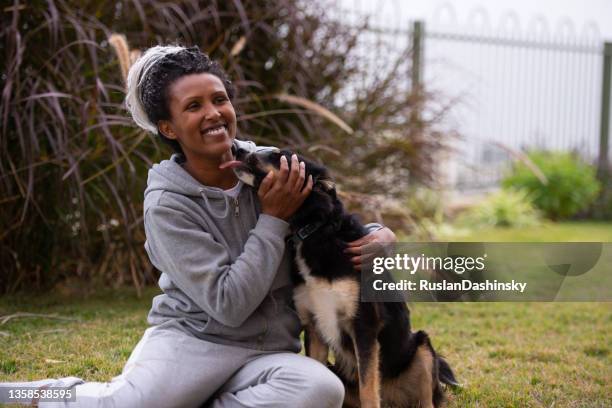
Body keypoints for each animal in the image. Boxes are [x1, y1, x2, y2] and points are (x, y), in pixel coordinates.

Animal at [228, 147, 454, 408]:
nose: (237, 149)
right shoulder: (315, 326)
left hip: (422, 348)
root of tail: (393, 399)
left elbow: (368, 389)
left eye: (278, 156)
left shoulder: (363, 326)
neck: (314, 231)